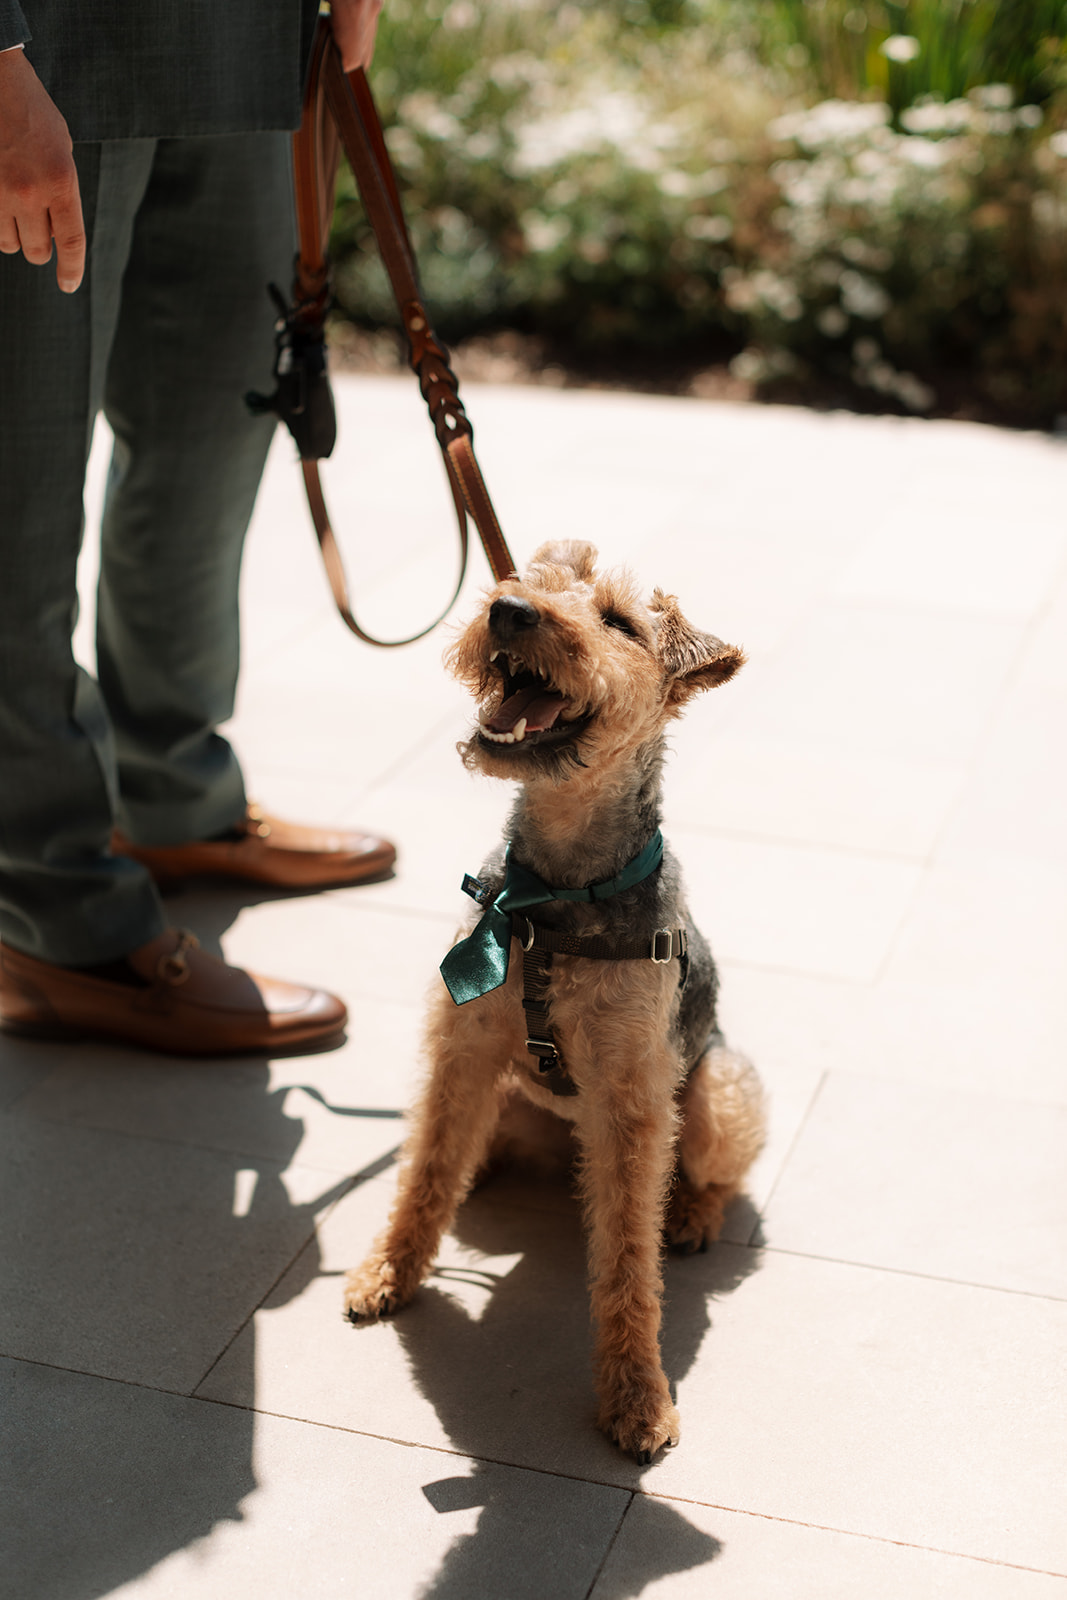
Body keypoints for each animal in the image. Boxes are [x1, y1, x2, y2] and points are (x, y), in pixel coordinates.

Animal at [348, 540, 767, 1465]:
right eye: (532, 578)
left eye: (617, 621)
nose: (508, 612)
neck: (554, 896)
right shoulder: (461, 1049)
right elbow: (423, 1173)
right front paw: (385, 1273)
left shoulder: (630, 1099)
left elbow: (626, 1262)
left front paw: (638, 1402)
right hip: (510, 1101)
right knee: (462, 1156)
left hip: (718, 1087)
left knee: (713, 1173)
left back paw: (692, 1215)